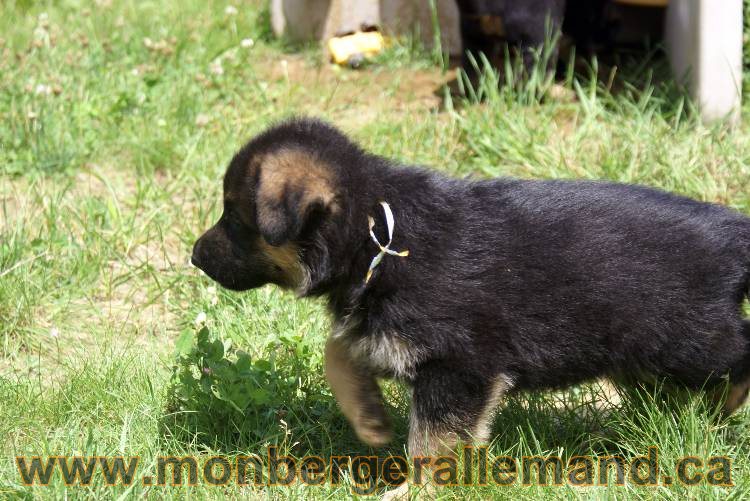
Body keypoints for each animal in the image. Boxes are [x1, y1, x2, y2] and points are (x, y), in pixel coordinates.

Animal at [192, 118, 750, 460]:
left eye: (234, 218)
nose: (194, 256)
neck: (378, 235)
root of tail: (733, 234)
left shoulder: (459, 363)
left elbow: (431, 441)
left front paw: (415, 487)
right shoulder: (378, 326)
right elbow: (339, 351)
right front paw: (369, 419)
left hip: (686, 338)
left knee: (739, 353)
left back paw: (725, 408)